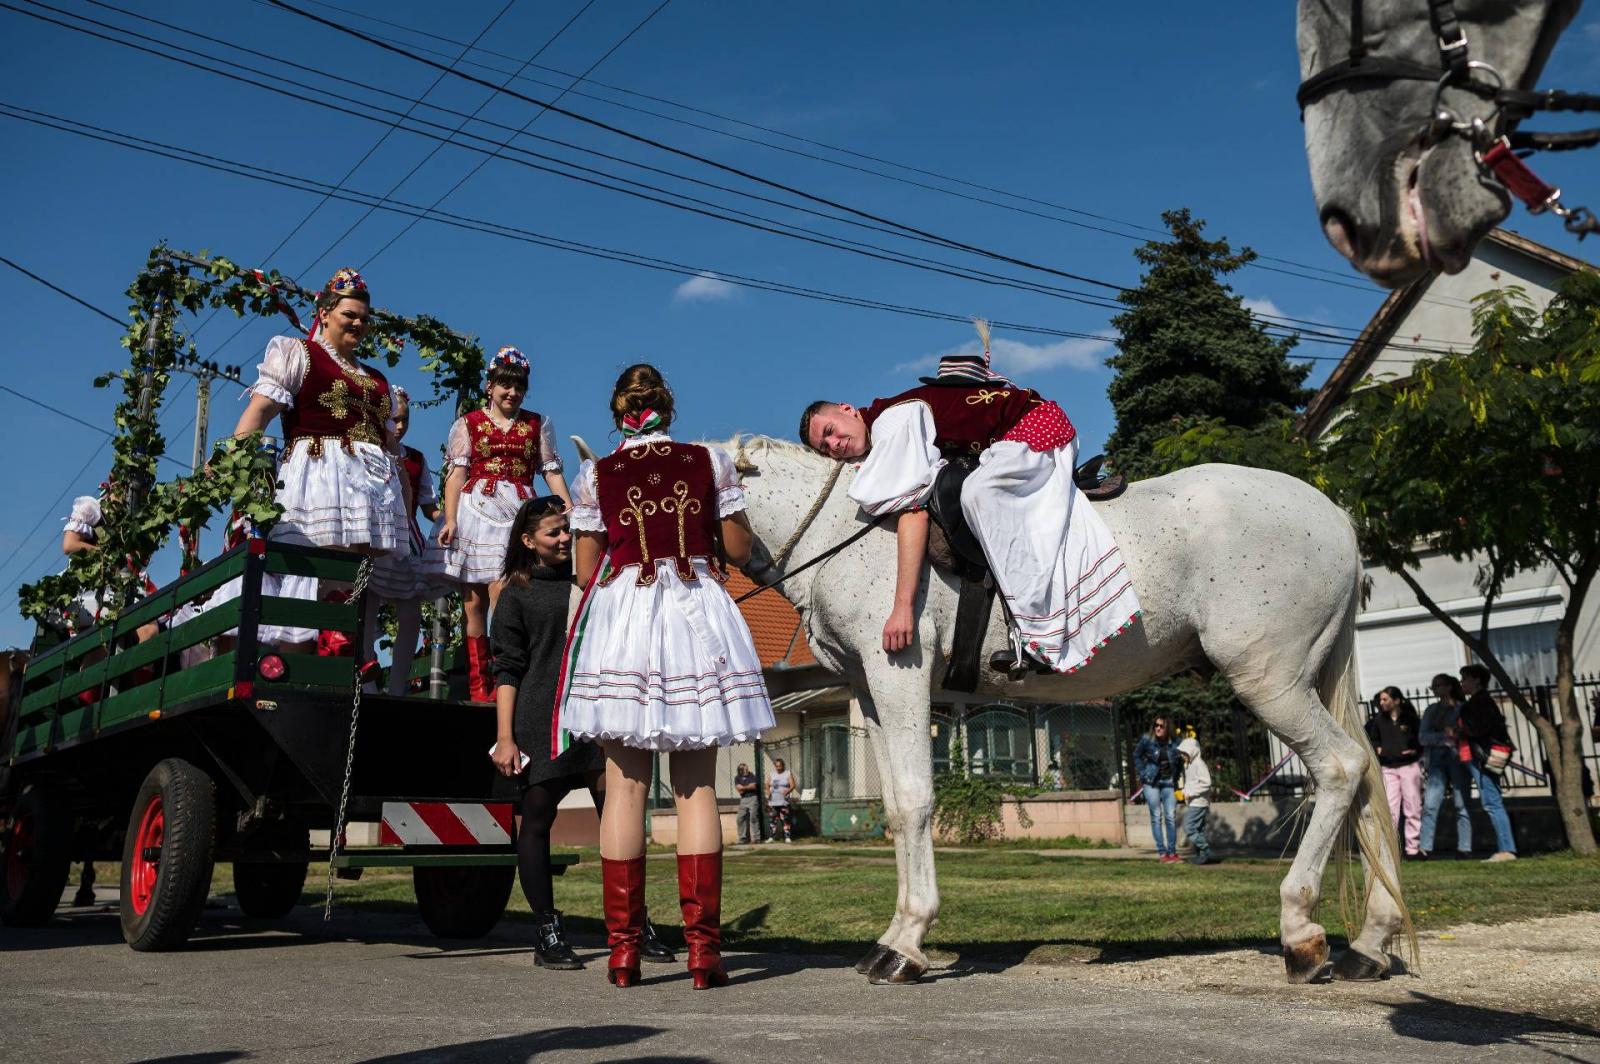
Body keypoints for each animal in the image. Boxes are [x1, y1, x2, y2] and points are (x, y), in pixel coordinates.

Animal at [720, 435, 1408, 985]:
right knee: (1367, 778)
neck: (847, 530)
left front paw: (907, 943)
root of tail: (1333, 515)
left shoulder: (901, 678)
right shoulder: (870, 693)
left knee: (1341, 768)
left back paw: (1301, 932)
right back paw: (1371, 943)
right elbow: (892, 808)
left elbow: (915, 802)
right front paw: (893, 936)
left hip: (1271, 681)